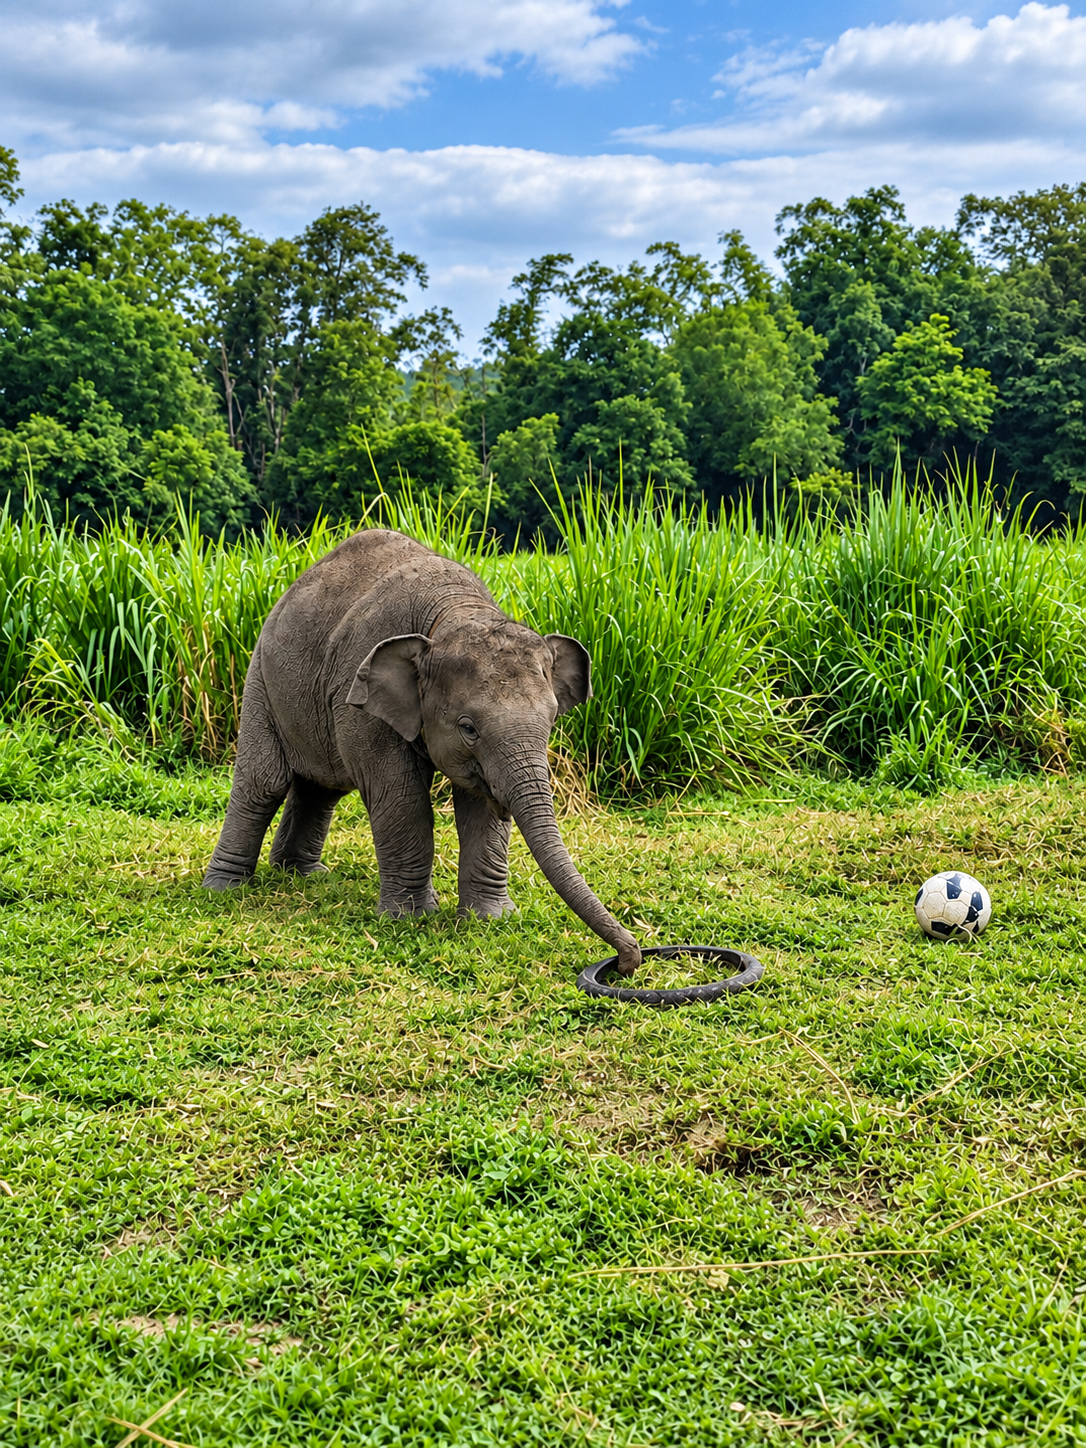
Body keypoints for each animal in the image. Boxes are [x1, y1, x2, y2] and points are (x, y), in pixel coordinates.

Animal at [202, 528, 642, 975]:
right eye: (468, 728)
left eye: (552, 721)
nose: (627, 961)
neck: (453, 614)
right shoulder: (358, 693)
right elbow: (402, 797)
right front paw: (409, 918)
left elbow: (479, 804)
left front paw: (490, 919)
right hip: (260, 679)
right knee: (264, 784)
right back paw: (224, 888)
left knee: (323, 787)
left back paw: (304, 876)